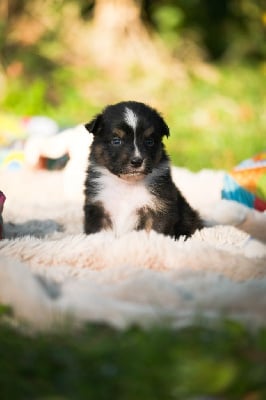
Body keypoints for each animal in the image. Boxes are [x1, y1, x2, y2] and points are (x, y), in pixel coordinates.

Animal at [83, 101, 202, 239]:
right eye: (116, 141)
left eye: (149, 141)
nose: (136, 161)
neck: (128, 185)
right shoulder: (98, 208)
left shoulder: (158, 208)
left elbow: (155, 233)